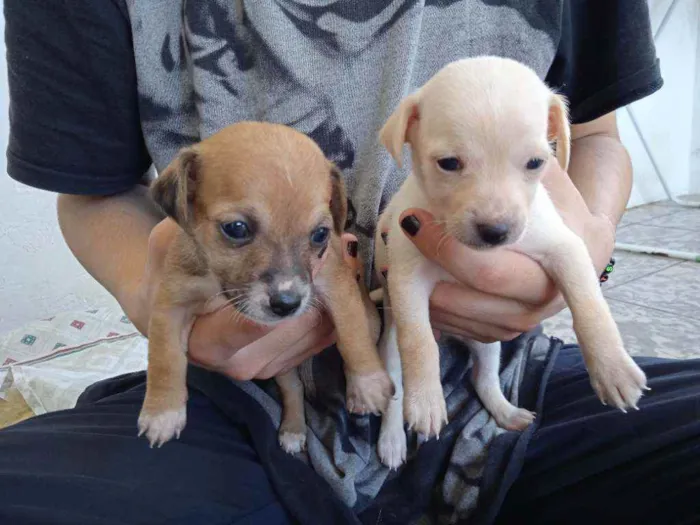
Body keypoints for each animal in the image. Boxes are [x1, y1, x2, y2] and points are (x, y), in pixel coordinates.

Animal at [138, 123, 394, 450]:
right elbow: (164, 357)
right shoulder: (171, 305)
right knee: (294, 388)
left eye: (321, 234)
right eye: (236, 228)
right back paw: (293, 430)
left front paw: (369, 384)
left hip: (370, 319)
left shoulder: (338, 286)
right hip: (282, 368)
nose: (287, 304)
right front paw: (162, 412)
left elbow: (353, 336)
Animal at [374, 56, 648, 466]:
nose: (496, 231)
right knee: (395, 390)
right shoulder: (406, 275)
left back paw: (506, 413)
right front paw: (426, 402)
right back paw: (392, 440)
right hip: (390, 347)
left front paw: (613, 368)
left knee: (483, 379)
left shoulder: (565, 247)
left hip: (487, 344)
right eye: (449, 163)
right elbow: (419, 341)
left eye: (536, 162)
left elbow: (588, 303)